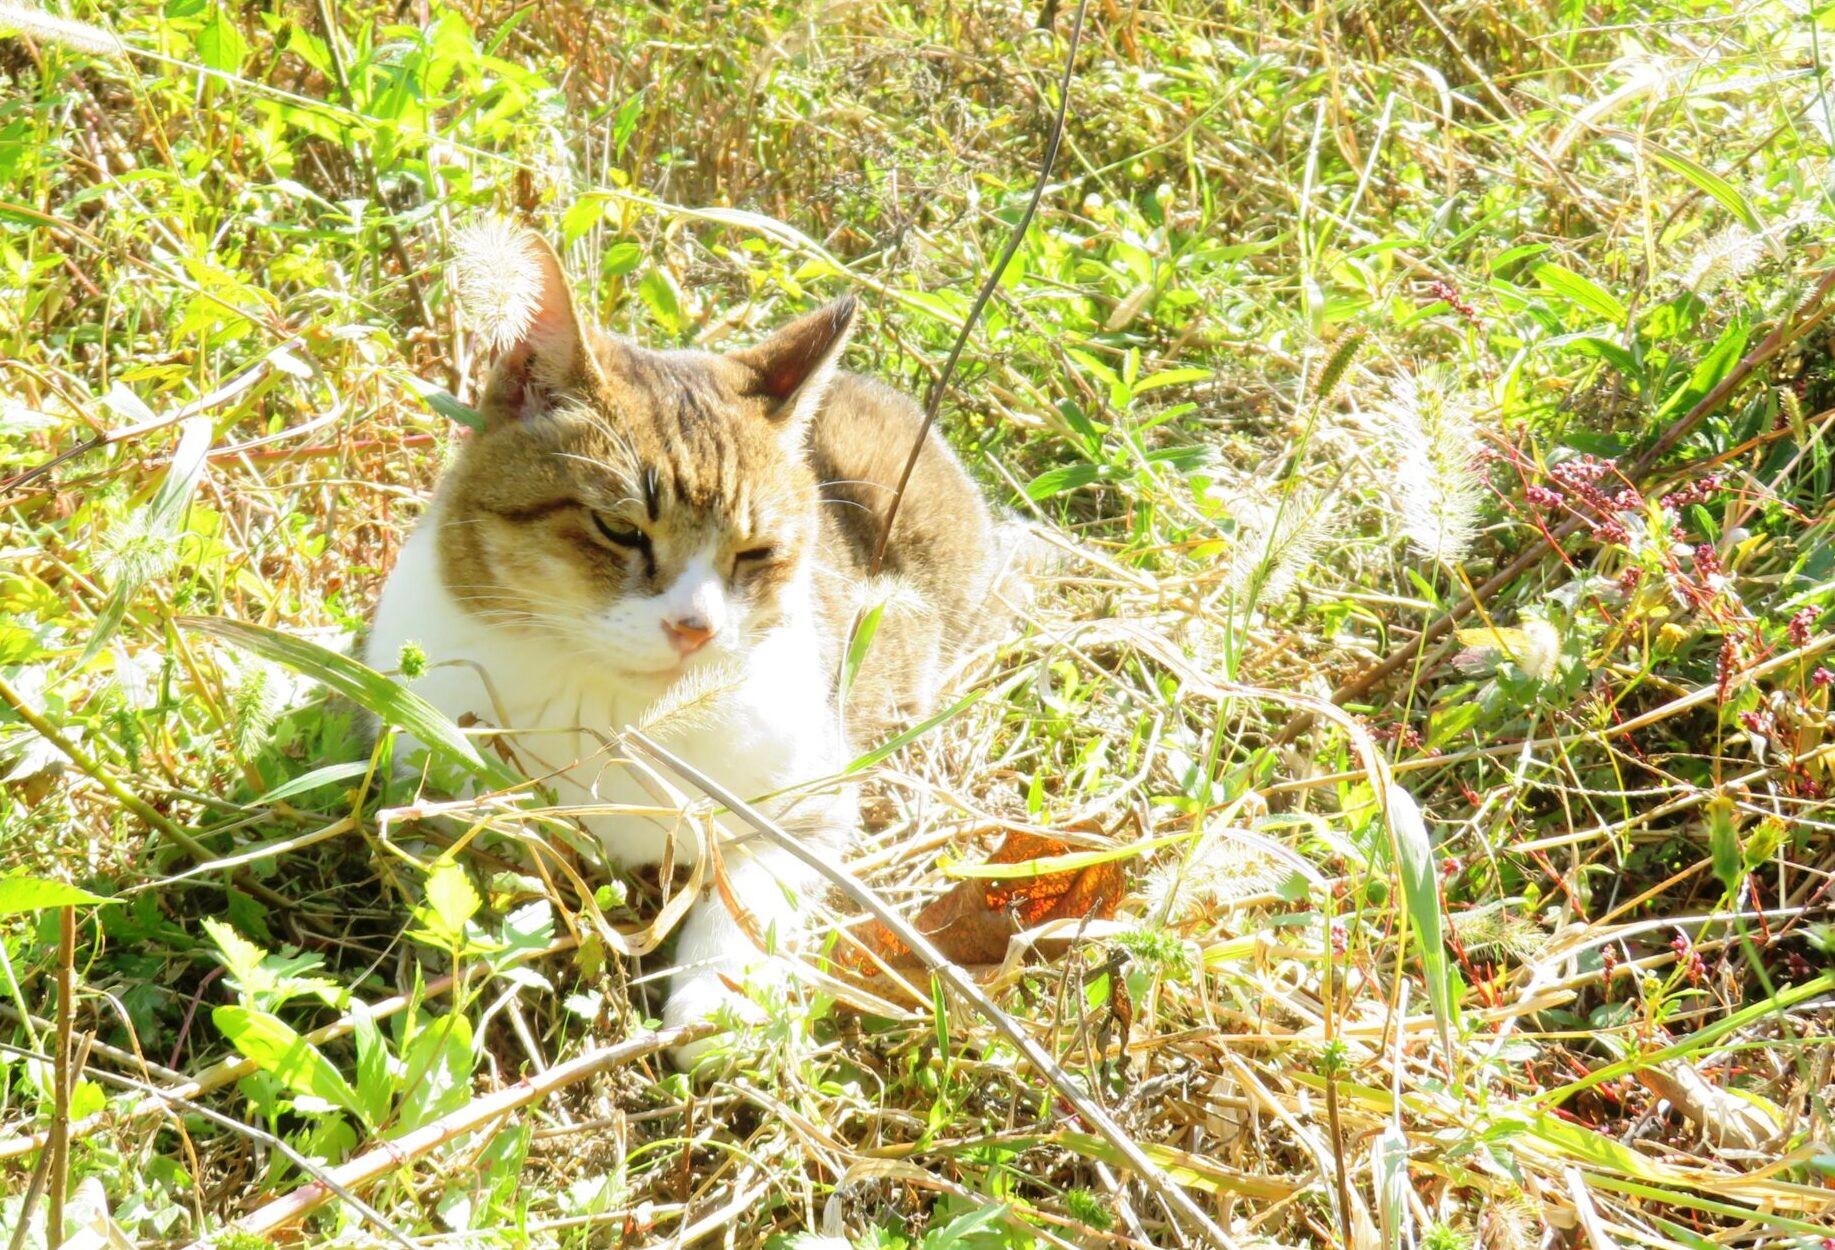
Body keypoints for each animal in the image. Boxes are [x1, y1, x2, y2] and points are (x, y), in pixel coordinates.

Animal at [365, 223, 1027, 1064]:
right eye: (618, 528)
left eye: (756, 552)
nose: (696, 629)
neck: (611, 704)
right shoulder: (419, 774)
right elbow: (469, 874)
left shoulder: (812, 799)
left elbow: (746, 883)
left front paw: (719, 1000)